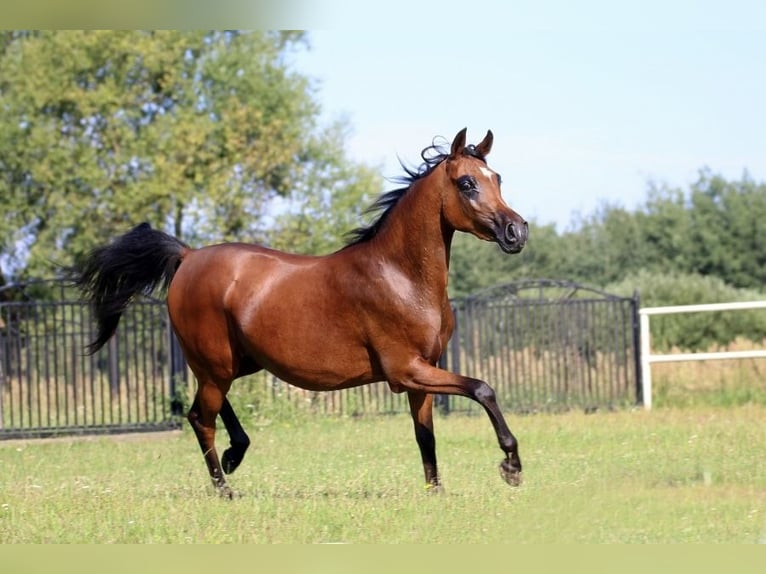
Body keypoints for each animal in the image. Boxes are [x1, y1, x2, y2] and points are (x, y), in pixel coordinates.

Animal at [74, 128, 529, 497]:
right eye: (467, 183)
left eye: (498, 179)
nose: (517, 231)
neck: (401, 276)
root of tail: (187, 257)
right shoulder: (406, 371)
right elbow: (482, 388)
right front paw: (511, 466)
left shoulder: (423, 374)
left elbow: (425, 437)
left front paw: (436, 493)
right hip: (216, 364)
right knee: (200, 417)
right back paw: (225, 488)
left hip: (235, 363)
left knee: (206, 409)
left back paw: (235, 455)